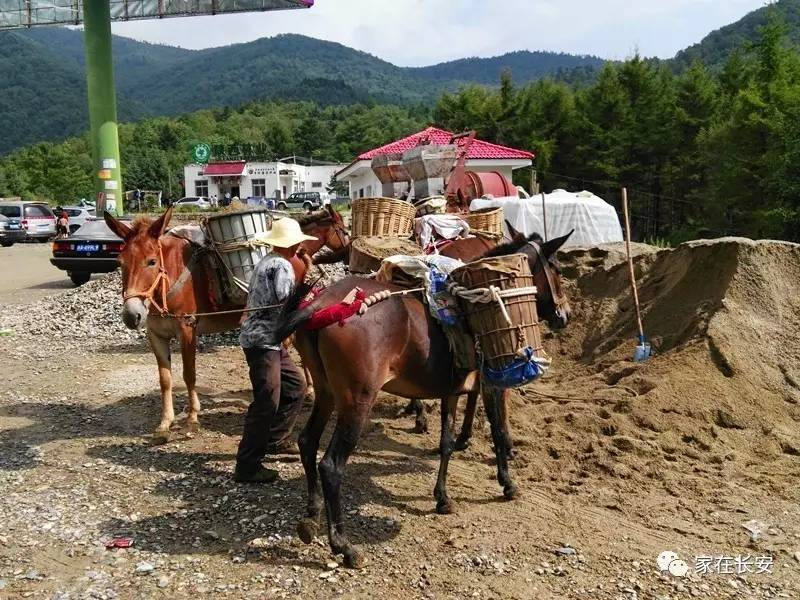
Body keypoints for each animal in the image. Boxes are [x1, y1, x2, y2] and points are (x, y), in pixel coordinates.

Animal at [103, 205, 346, 440]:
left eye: (152, 261)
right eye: (120, 263)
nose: (131, 315)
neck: (169, 277)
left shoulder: (187, 328)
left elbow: (188, 374)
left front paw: (192, 417)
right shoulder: (156, 335)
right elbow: (165, 379)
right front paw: (165, 423)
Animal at [284, 230, 572, 568]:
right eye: (557, 270)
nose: (564, 316)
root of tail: (325, 305)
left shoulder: (451, 390)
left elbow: (446, 442)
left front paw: (443, 497)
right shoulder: (493, 383)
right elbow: (499, 432)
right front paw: (507, 483)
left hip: (327, 392)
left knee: (307, 442)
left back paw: (312, 513)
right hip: (357, 401)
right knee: (330, 466)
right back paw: (343, 545)